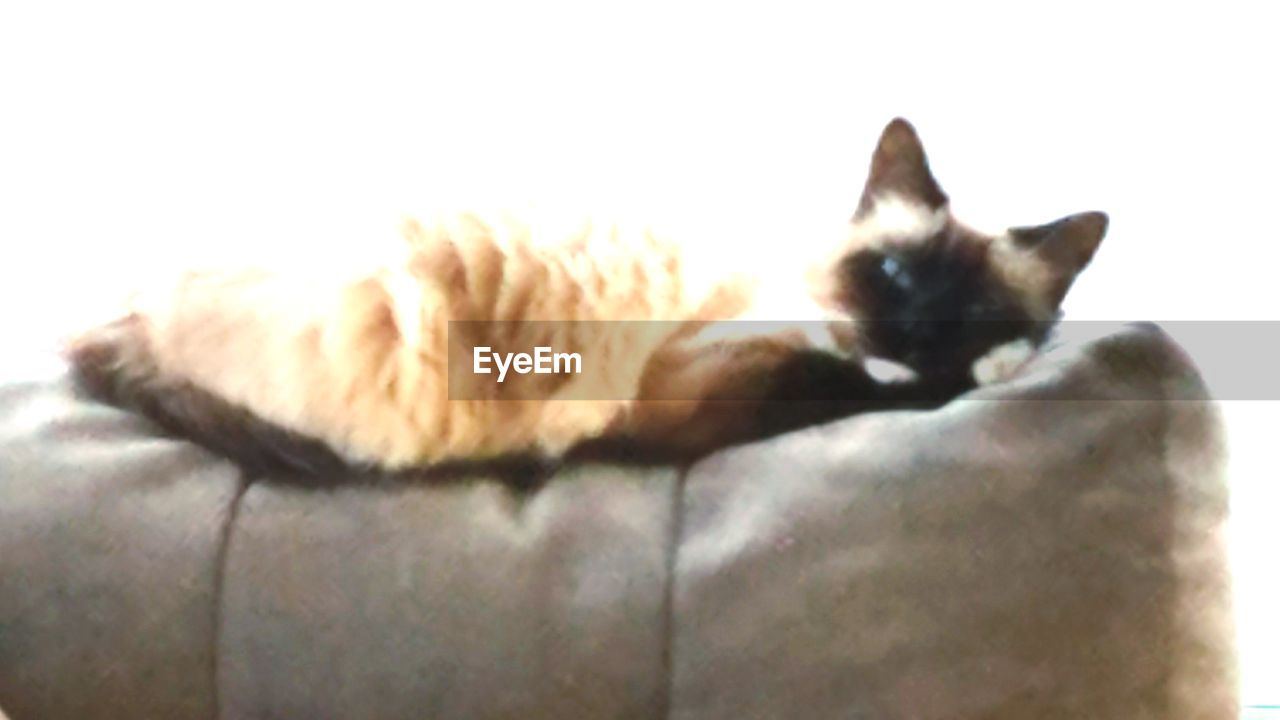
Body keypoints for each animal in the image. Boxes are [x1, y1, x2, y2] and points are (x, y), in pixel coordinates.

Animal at [67, 119, 1111, 474]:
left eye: (971, 306)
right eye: (893, 273)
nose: (915, 329)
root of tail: (119, 317)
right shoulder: (695, 391)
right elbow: (865, 387)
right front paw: (966, 373)